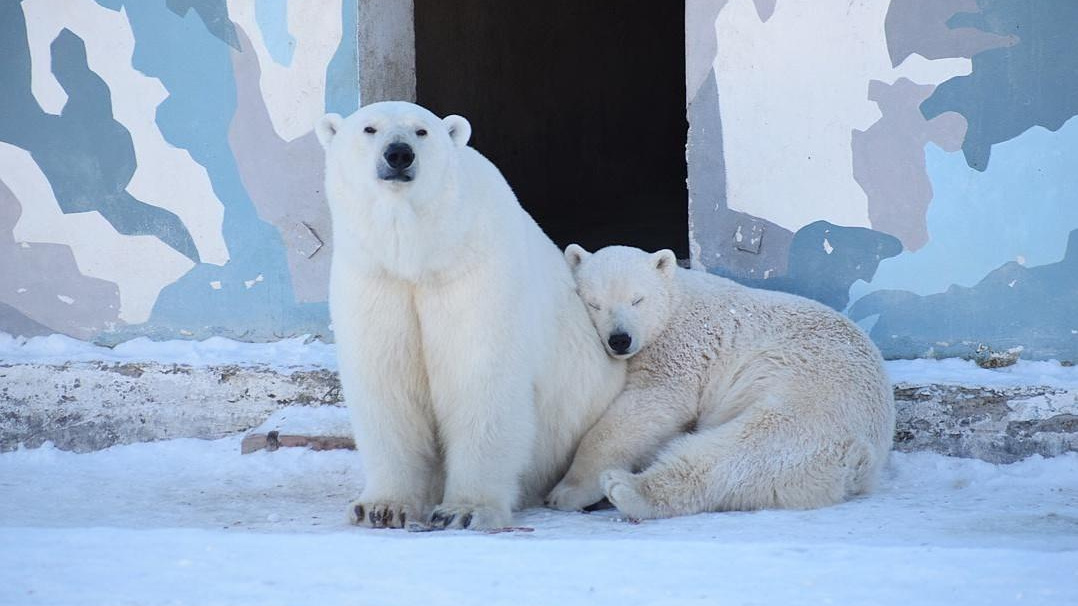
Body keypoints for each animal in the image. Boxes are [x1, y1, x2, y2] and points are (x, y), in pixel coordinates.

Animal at [314, 101, 625, 526]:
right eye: (369, 128)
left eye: (421, 131)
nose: (399, 154)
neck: (421, 254)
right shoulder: (377, 278)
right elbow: (387, 383)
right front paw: (380, 507)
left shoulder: (472, 272)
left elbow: (479, 379)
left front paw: (464, 511)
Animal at [547, 242, 892, 517]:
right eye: (594, 303)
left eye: (637, 300)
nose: (620, 339)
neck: (676, 299)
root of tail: (865, 463)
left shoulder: (681, 348)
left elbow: (649, 406)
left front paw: (566, 491)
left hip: (814, 400)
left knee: (745, 451)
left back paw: (627, 488)